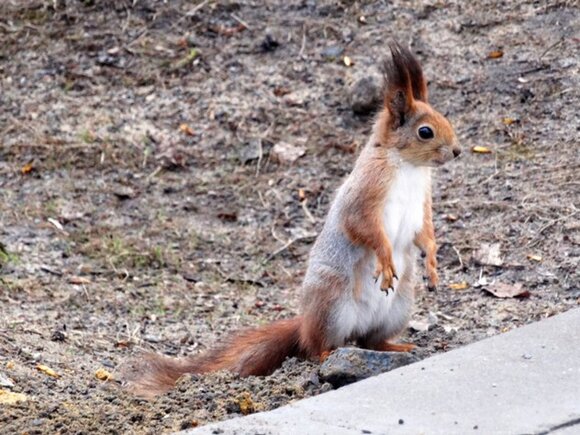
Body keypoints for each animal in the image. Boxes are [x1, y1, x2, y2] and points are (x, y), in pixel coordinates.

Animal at [123, 41, 461, 399]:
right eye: (425, 132)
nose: (457, 151)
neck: (408, 167)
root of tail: (306, 324)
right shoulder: (364, 196)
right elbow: (365, 229)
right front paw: (384, 261)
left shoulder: (422, 204)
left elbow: (425, 233)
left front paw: (432, 264)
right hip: (332, 304)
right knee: (317, 347)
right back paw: (329, 353)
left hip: (399, 307)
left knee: (371, 341)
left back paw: (398, 347)